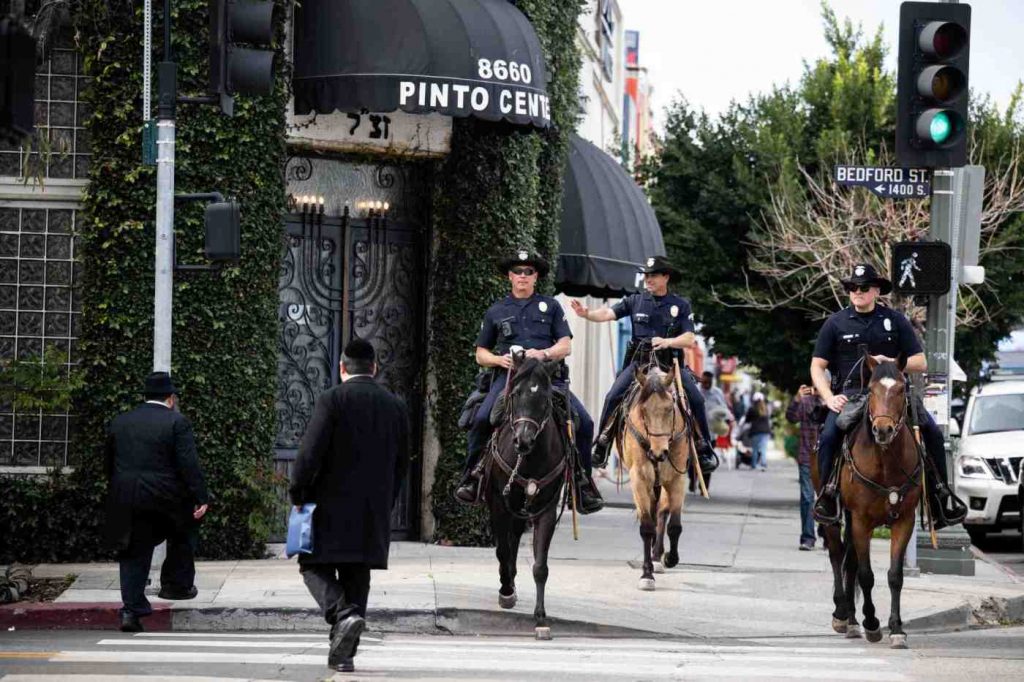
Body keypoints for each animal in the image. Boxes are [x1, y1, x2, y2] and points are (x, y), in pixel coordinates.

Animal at [485, 356, 573, 638]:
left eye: (545, 398)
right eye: (515, 394)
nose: (523, 441)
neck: (529, 460)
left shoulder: (546, 510)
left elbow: (540, 566)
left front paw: (541, 617)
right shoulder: (498, 504)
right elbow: (502, 550)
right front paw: (506, 592)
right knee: (506, 545)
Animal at [614, 364, 688, 585]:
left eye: (670, 409)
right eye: (643, 411)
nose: (658, 453)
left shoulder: (678, 479)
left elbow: (674, 525)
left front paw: (670, 558)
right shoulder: (639, 479)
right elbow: (646, 527)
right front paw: (647, 574)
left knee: (661, 513)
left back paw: (658, 556)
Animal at [827, 352, 925, 647]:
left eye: (902, 389)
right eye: (871, 390)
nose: (883, 430)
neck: (885, 462)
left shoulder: (904, 520)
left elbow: (895, 576)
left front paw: (897, 628)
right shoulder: (861, 520)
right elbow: (866, 575)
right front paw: (871, 623)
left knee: (849, 561)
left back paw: (851, 620)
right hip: (835, 516)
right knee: (838, 555)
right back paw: (843, 614)